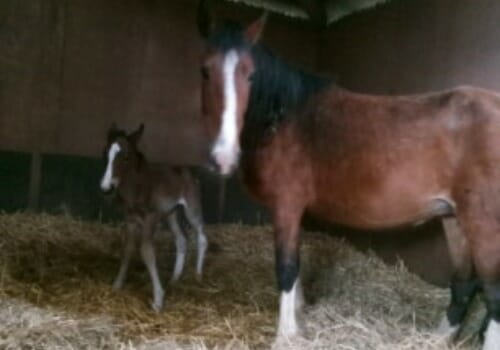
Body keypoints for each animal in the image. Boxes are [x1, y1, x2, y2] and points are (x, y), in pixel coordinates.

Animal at [100, 123, 206, 312]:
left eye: (126, 157)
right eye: (105, 154)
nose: (106, 187)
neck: (137, 188)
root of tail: (188, 172)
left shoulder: (151, 218)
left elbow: (146, 251)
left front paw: (158, 299)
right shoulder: (130, 219)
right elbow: (128, 249)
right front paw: (117, 285)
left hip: (191, 208)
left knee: (201, 236)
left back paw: (198, 275)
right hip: (172, 214)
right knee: (181, 240)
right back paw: (175, 278)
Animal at [197, 3, 500, 350]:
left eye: (250, 74)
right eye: (205, 71)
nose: (224, 157)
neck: (286, 120)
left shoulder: (286, 205)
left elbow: (286, 268)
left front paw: (286, 334)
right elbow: (296, 266)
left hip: (483, 224)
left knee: (493, 294)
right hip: (454, 219)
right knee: (465, 282)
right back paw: (437, 337)